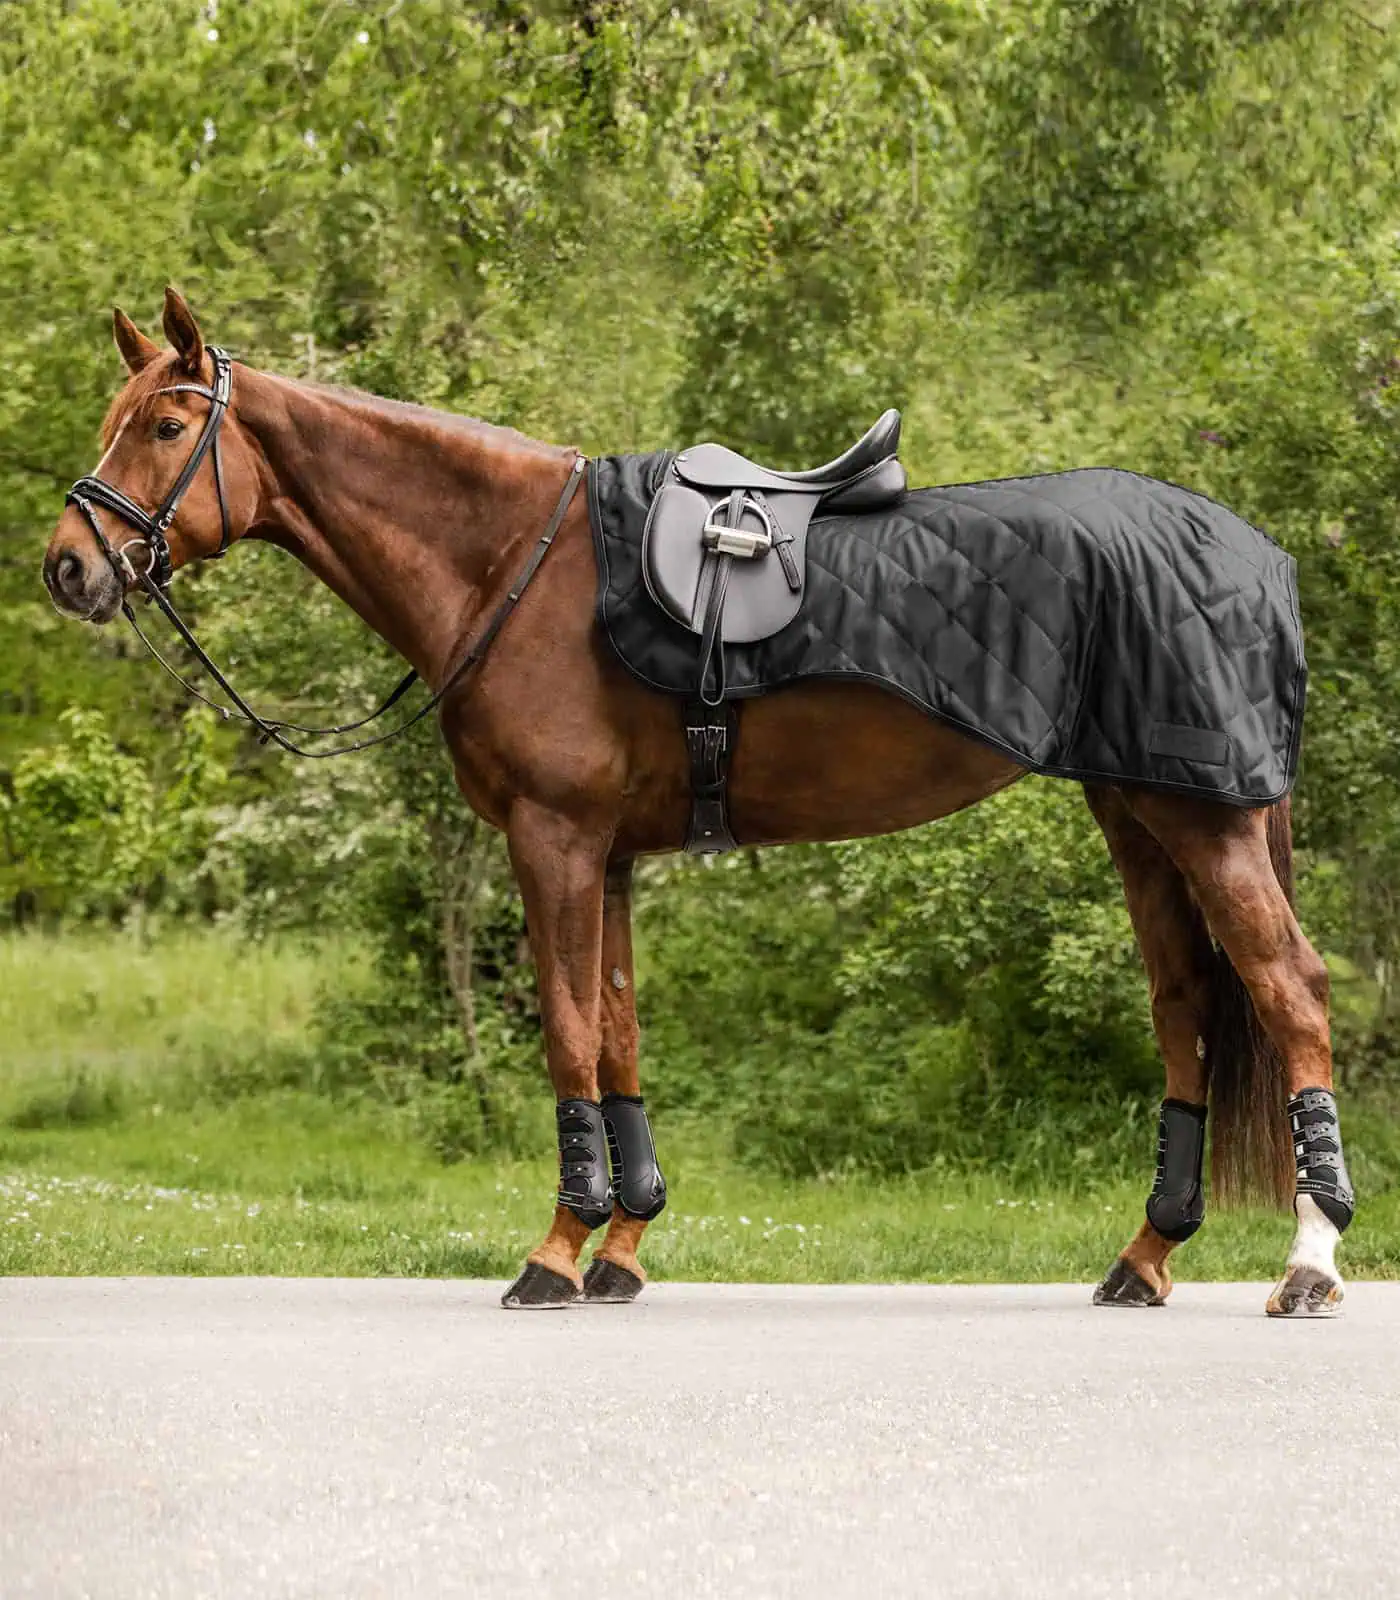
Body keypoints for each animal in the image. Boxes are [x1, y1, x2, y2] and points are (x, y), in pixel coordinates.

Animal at [42, 289, 1353, 1317]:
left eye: (167, 425)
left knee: (1288, 991)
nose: (69, 565)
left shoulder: (555, 841)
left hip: (1204, 821)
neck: (512, 563)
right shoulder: (610, 855)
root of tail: (1254, 552)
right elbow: (617, 1030)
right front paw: (621, 1245)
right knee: (1186, 1008)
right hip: (1139, 815)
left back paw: (1307, 1263)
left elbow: (568, 1032)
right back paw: (1144, 1256)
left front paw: (556, 1251)